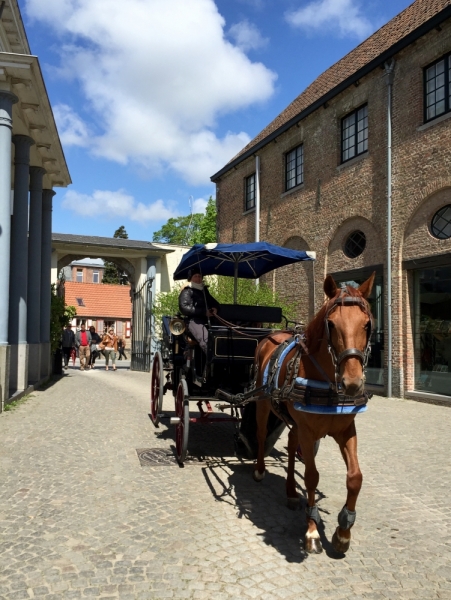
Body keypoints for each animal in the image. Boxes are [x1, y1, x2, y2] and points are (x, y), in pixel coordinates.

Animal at [254, 274, 374, 556]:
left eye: (367, 325)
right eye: (331, 324)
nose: (353, 382)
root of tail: (272, 336)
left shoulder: (345, 431)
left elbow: (355, 477)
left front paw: (343, 531)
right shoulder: (309, 433)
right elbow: (311, 476)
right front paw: (311, 530)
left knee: (290, 446)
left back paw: (290, 491)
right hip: (263, 404)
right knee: (261, 434)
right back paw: (260, 470)